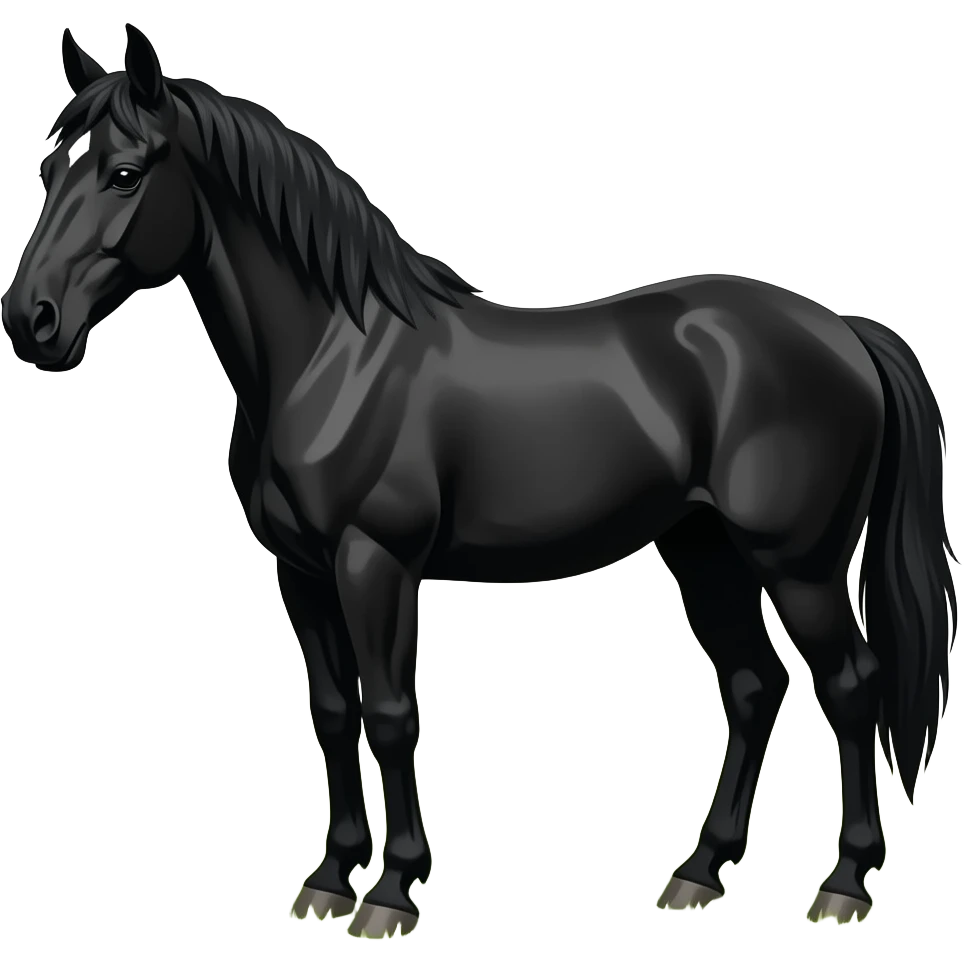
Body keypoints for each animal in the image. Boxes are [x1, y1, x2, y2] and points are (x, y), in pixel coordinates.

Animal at [1, 24, 957, 937]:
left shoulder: (375, 564)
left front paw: (390, 893)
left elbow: (392, 714)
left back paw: (842, 886)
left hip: (798, 565)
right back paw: (696, 873)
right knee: (755, 688)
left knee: (851, 687)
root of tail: (844, 329)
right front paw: (327, 881)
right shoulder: (301, 572)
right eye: (50, 169)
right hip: (705, 551)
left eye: (125, 174)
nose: (30, 321)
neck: (334, 355)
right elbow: (333, 712)